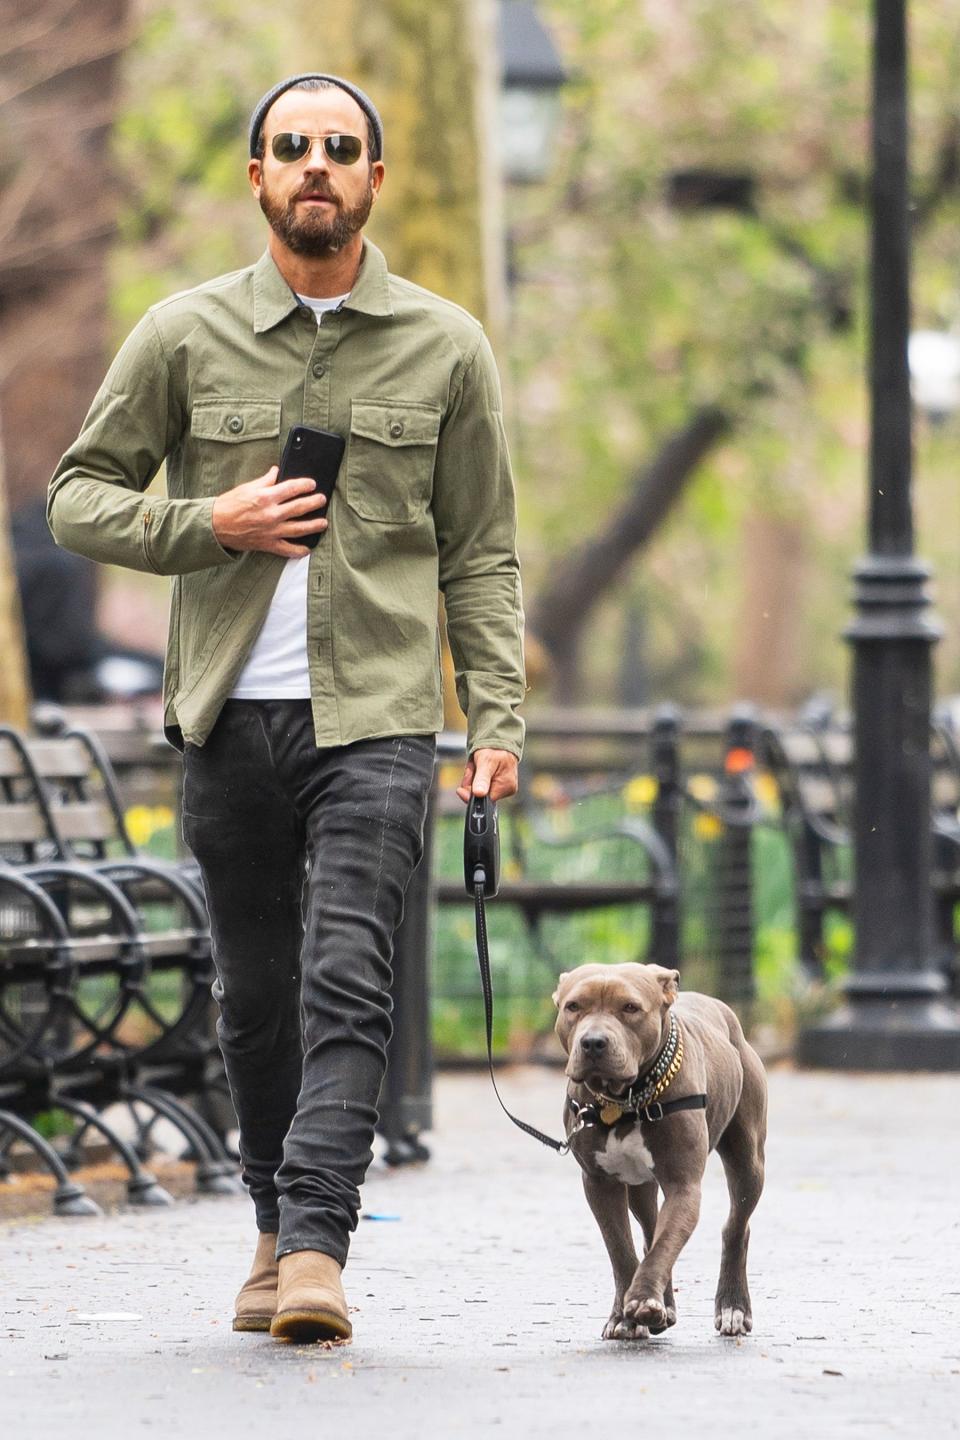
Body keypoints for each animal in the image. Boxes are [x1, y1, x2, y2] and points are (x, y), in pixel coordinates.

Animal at [555, 961, 765, 1342]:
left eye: (630, 1008)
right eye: (573, 1006)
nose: (592, 1042)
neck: (623, 1101)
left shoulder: (683, 1185)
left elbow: (667, 1241)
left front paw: (642, 1301)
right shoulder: (599, 1184)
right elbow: (620, 1246)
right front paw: (625, 1316)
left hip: (748, 1162)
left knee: (735, 1226)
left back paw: (733, 1308)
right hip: (641, 1186)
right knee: (650, 1227)